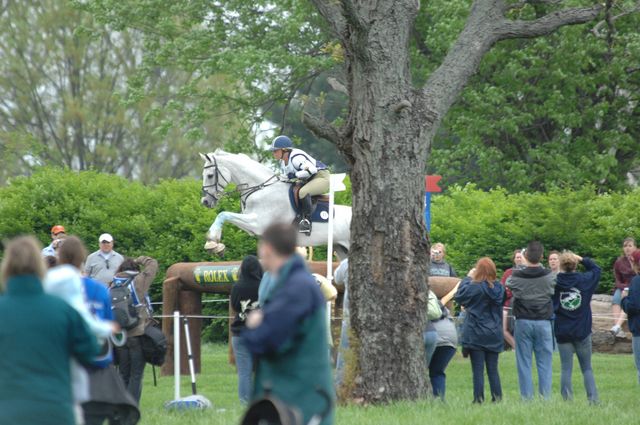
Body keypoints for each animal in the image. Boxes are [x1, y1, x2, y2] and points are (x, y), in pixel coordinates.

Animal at [199, 149, 350, 256]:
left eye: (210, 175)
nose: (205, 201)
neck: (261, 188)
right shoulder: (252, 227)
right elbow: (226, 216)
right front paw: (217, 246)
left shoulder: (257, 223)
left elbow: (223, 214)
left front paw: (212, 241)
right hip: (341, 249)